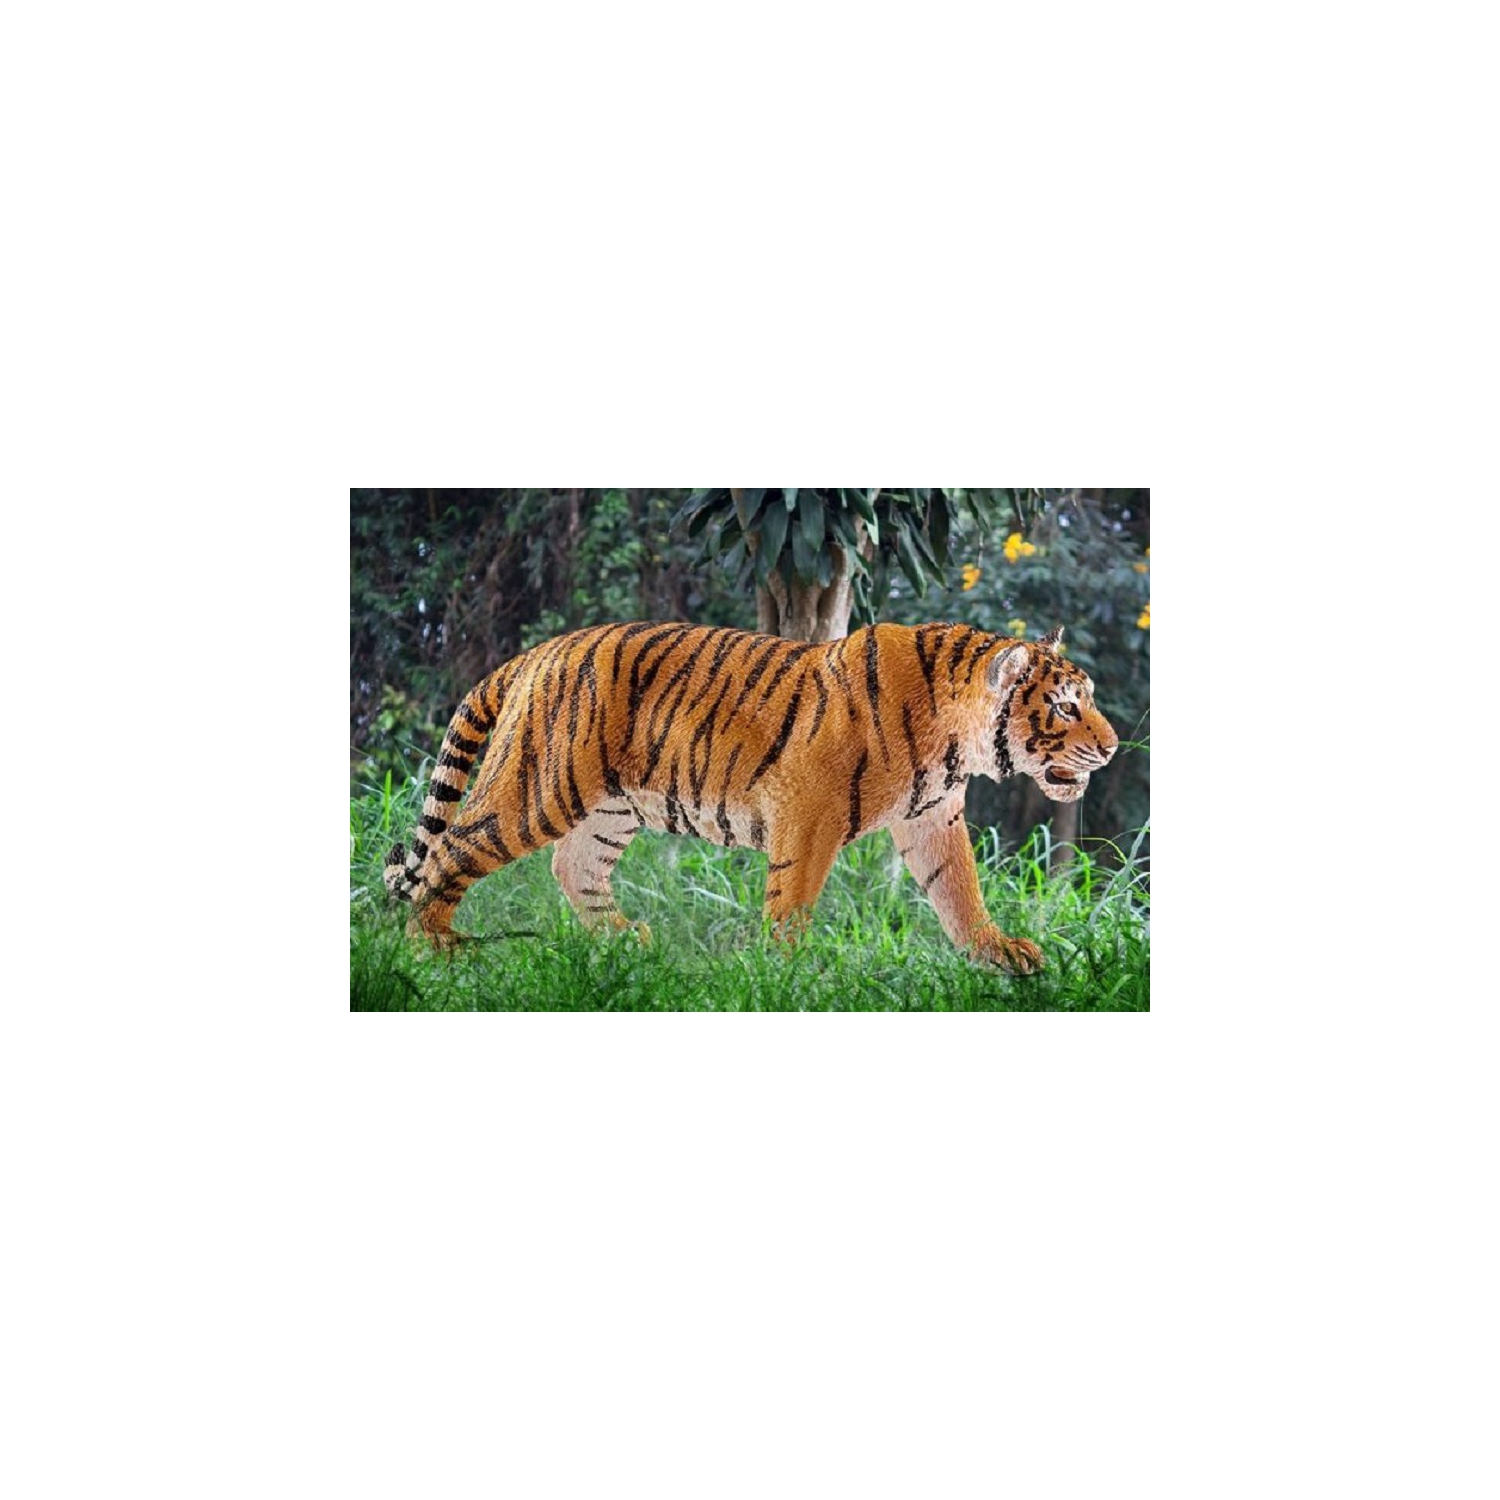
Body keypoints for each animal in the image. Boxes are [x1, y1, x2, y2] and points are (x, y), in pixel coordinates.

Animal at [383, 620, 1118, 972]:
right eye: (1064, 706)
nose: (1112, 748)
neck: (957, 739)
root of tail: (535, 653)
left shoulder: (933, 818)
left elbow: (959, 890)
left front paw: (996, 953)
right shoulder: (809, 810)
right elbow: (792, 897)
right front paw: (786, 972)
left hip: (610, 807)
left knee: (573, 865)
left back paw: (625, 943)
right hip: (539, 789)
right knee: (451, 850)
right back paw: (434, 949)